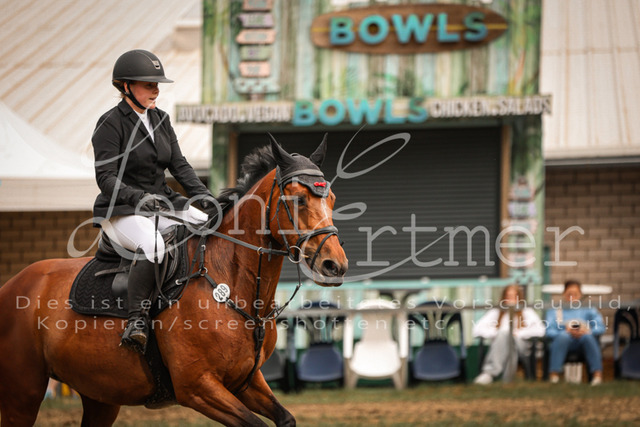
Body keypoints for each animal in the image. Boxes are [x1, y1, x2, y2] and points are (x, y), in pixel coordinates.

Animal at [0, 135, 348, 426]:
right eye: (298, 200)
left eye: (331, 198)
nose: (335, 265)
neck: (231, 284)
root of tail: (12, 285)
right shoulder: (197, 387)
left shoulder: (246, 382)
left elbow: (285, 418)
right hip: (23, 394)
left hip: (100, 395)